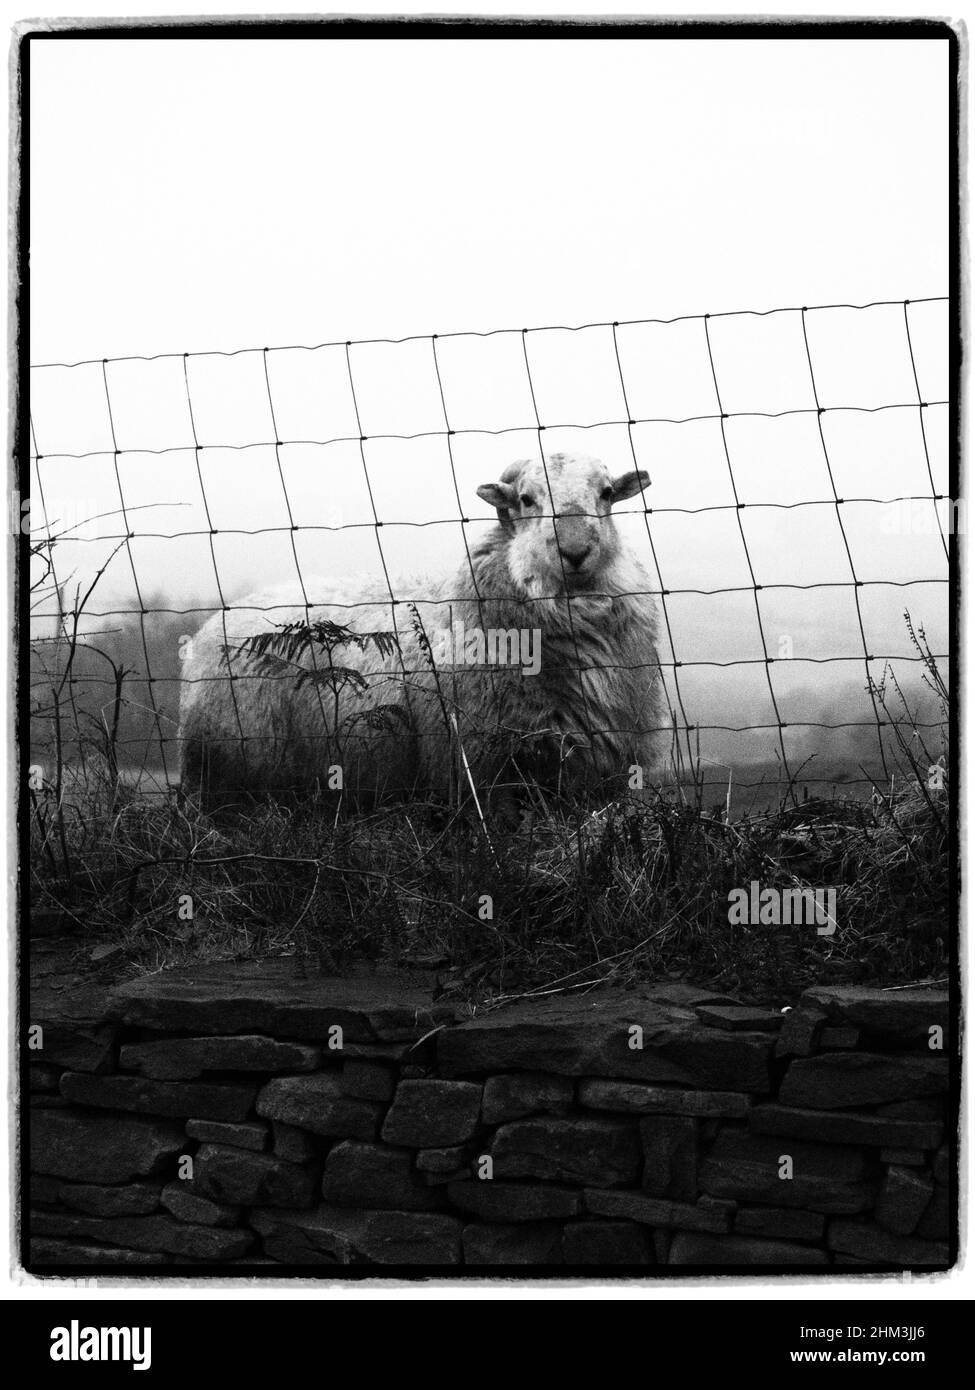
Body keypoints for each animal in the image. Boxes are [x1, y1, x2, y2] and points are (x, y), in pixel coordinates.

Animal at [178, 451, 664, 811]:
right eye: (527, 499)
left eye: (606, 494)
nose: (576, 550)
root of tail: (208, 627)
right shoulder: (482, 769)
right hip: (233, 772)